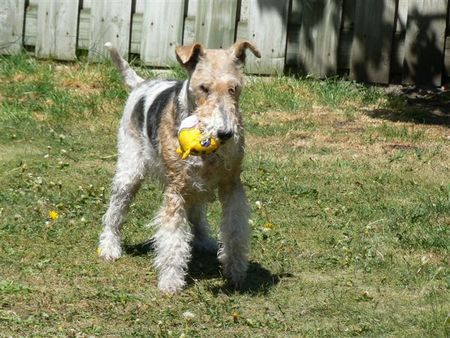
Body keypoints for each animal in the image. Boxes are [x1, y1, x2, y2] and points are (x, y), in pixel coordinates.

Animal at [98, 39, 260, 294]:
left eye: (234, 88)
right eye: (204, 88)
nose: (224, 134)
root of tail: (141, 84)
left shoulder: (231, 185)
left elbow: (235, 231)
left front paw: (235, 272)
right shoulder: (176, 189)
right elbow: (173, 238)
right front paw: (170, 282)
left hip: (194, 185)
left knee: (196, 213)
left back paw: (205, 241)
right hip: (130, 171)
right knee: (114, 212)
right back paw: (109, 248)